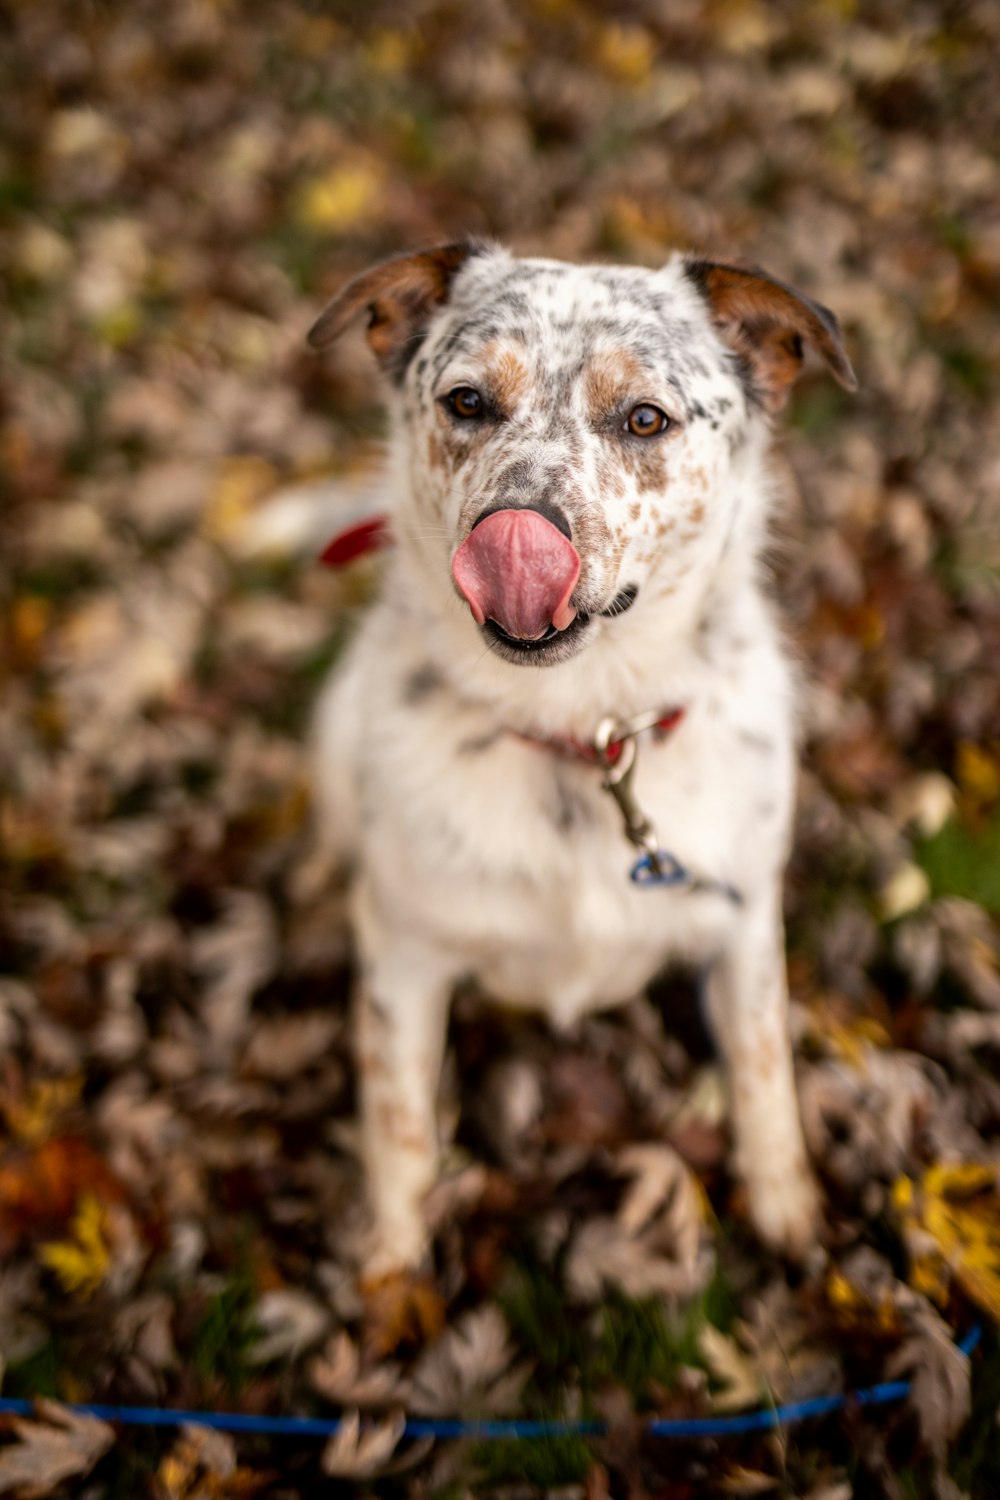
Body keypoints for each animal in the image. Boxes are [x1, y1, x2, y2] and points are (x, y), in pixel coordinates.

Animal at [308, 240, 857, 1272]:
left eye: (644, 418)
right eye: (467, 401)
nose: (518, 537)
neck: (579, 729)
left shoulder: (743, 926)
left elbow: (764, 1068)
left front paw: (787, 1209)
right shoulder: (405, 956)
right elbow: (399, 1120)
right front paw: (392, 1266)